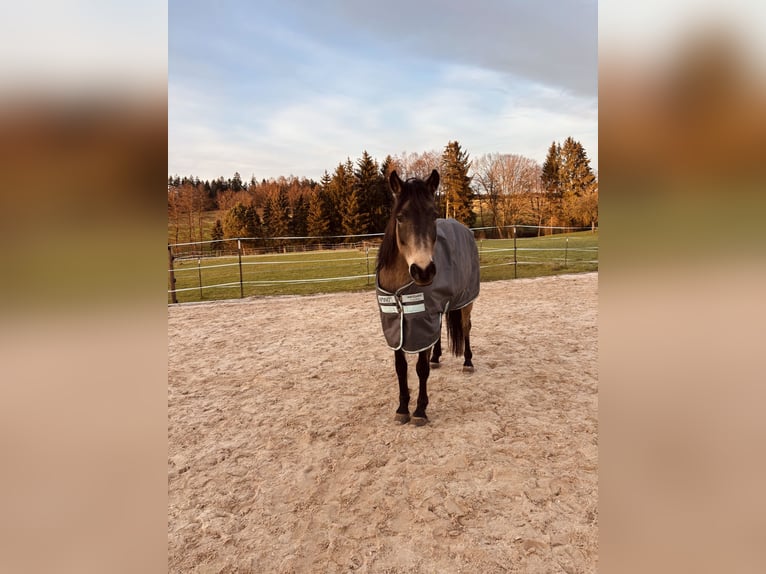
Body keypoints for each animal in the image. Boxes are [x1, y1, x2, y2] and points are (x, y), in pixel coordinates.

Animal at [375, 169, 480, 426]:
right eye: (400, 217)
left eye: (433, 215)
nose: (423, 271)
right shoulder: (396, 324)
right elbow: (401, 367)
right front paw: (402, 408)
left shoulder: (421, 319)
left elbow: (421, 368)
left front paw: (420, 410)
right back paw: (437, 357)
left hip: (466, 301)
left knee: (466, 327)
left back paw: (468, 362)